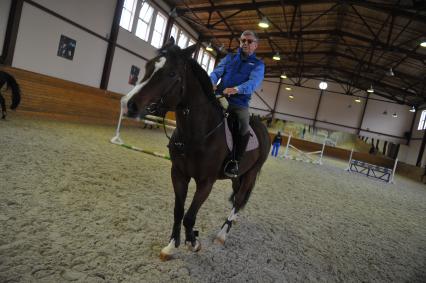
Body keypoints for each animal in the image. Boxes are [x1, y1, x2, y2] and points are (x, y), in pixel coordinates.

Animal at [121, 38, 270, 262]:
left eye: (172, 73)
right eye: (148, 66)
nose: (129, 104)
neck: (196, 134)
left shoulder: (205, 182)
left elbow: (190, 216)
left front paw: (194, 242)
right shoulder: (179, 174)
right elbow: (179, 211)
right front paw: (171, 246)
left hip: (251, 173)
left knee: (239, 199)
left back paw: (222, 234)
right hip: (238, 175)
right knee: (237, 197)